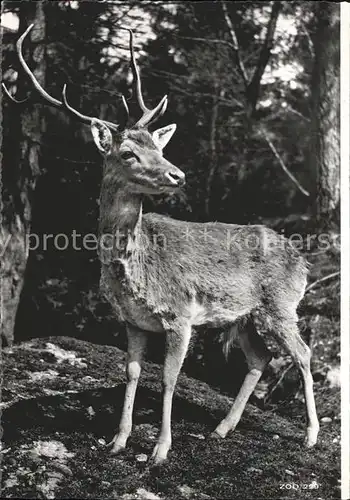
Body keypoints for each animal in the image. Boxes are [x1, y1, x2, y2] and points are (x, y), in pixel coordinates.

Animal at [3, 25, 320, 466]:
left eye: (160, 147)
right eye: (127, 152)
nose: (177, 175)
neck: (133, 269)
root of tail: (303, 261)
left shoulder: (180, 314)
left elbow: (169, 378)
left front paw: (160, 449)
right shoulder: (132, 320)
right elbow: (132, 372)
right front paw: (118, 440)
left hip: (281, 304)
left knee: (303, 353)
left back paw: (310, 435)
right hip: (243, 316)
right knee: (262, 358)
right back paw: (222, 428)